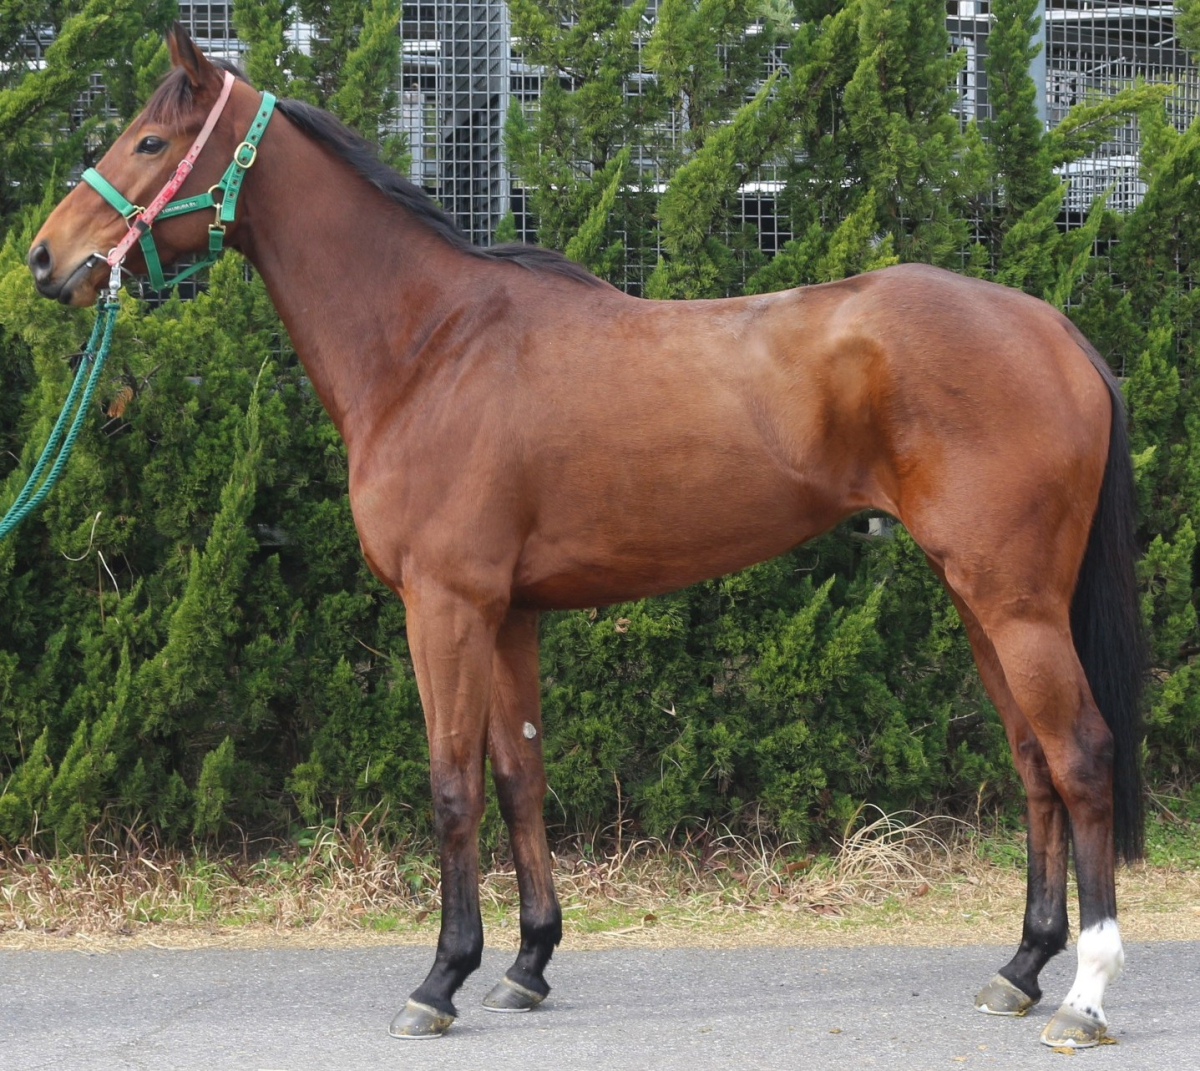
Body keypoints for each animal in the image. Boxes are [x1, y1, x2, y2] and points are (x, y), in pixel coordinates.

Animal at [27, 25, 1143, 1048]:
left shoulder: (446, 607)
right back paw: (1021, 966)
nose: (45, 256)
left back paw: (1085, 993)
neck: (430, 346)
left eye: (149, 140)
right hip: (979, 599)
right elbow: (520, 778)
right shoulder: (509, 613)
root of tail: (1054, 328)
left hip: (1015, 601)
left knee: (1081, 755)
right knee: (1033, 760)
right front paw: (526, 963)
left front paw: (440, 979)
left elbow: (451, 786)